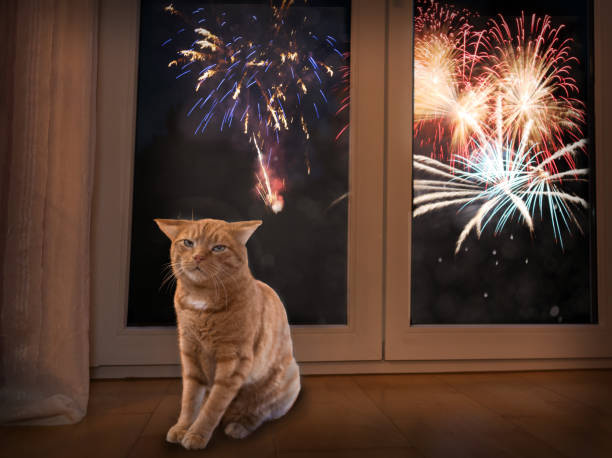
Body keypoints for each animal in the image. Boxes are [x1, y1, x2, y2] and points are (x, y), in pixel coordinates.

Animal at [154, 219, 300, 450]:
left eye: (218, 248)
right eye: (188, 243)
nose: (198, 256)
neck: (201, 301)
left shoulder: (234, 360)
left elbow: (214, 405)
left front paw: (197, 434)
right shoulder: (190, 354)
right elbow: (190, 400)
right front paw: (183, 427)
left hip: (287, 377)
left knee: (261, 410)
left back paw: (239, 427)